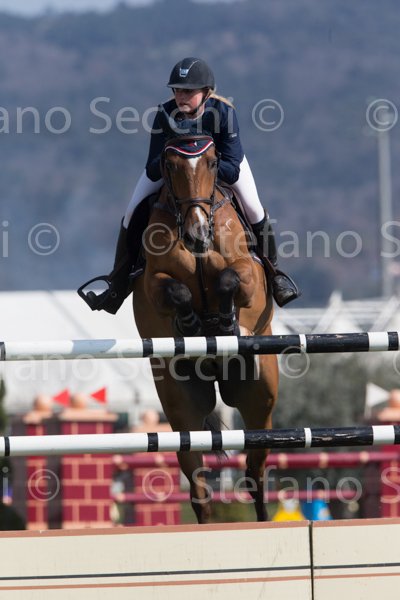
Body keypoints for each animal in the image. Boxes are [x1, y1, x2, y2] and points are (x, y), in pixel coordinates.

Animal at [131, 127, 278, 524]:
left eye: (213, 162)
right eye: (169, 164)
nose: (197, 235)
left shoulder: (249, 275)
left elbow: (230, 280)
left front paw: (224, 323)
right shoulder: (153, 283)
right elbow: (176, 290)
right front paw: (191, 323)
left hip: (260, 396)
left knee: (256, 470)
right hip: (181, 407)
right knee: (198, 484)